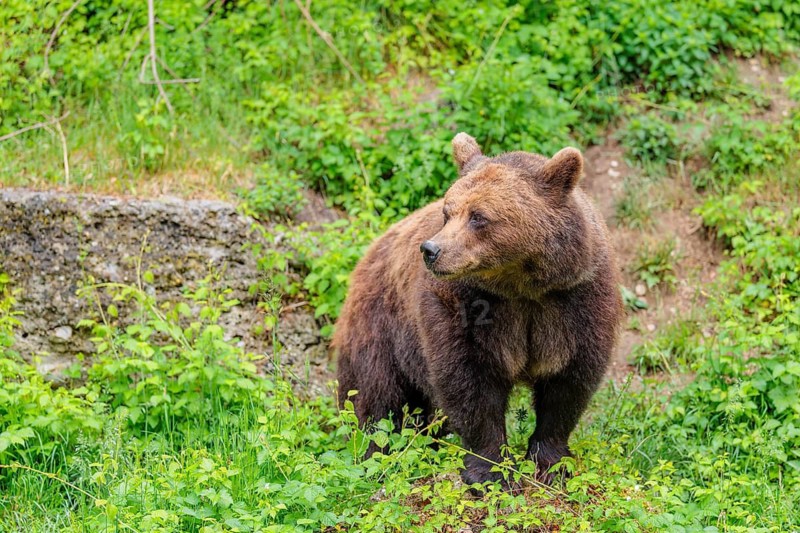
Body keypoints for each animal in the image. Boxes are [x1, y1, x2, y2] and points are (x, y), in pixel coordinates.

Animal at [333, 132, 622, 487]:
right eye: (447, 211)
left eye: (478, 216)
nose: (431, 250)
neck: (520, 286)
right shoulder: (463, 307)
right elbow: (470, 382)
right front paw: (491, 471)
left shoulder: (576, 301)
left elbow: (568, 382)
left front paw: (550, 463)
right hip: (381, 325)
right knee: (375, 397)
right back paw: (377, 451)